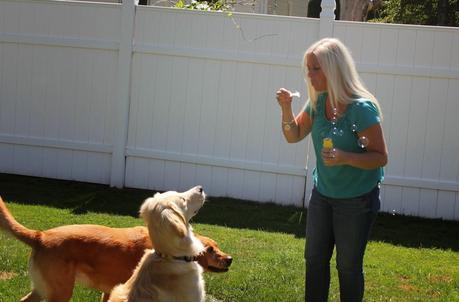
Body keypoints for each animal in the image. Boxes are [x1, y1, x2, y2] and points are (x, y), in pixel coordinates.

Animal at [0, 188, 232, 300]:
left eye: (217, 246)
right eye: (210, 250)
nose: (230, 259)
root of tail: (40, 236)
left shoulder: (111, 291)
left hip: (44, 289)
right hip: (60, 292)